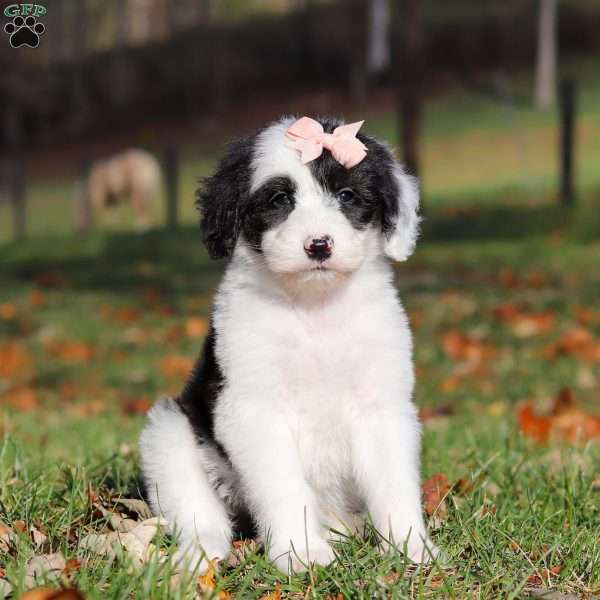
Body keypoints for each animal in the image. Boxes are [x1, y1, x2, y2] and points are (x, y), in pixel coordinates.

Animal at [139, 116, 436, 572]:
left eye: (347, 195)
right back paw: (200, 554)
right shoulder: (254, 410)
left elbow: (394, 482)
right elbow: (283, 485)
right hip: (169, 431)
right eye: (279, 199)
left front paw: (410, 546)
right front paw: (302, 552)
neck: (314, 309)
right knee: (198, 510)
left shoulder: (382, 405)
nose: (319, 244)